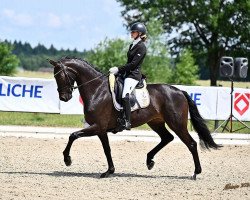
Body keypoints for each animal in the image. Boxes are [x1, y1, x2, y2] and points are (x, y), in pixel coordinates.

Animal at [48, 56, 221, 180]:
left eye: (61, 76)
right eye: (55, 77)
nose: (64, 97)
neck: (97, 89)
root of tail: (180, 91)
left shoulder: (97, 126)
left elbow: (73, 135)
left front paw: (67, 159)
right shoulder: (101, 129)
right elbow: (107, 149)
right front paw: (109, 171)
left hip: (177, 123)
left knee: (191, 143)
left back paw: (196, 172)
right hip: (156, 122)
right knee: (167, 138)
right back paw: (149, 160)